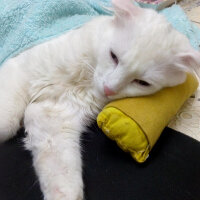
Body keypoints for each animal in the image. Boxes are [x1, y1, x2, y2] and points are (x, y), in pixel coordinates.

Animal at [0, 0, 199, 199]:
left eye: (142, 83)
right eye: (113, 56)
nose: (109, 88)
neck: (85, 82)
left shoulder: (53, 116)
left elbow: (62, 176)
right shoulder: (20, 69)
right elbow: (6, 123)